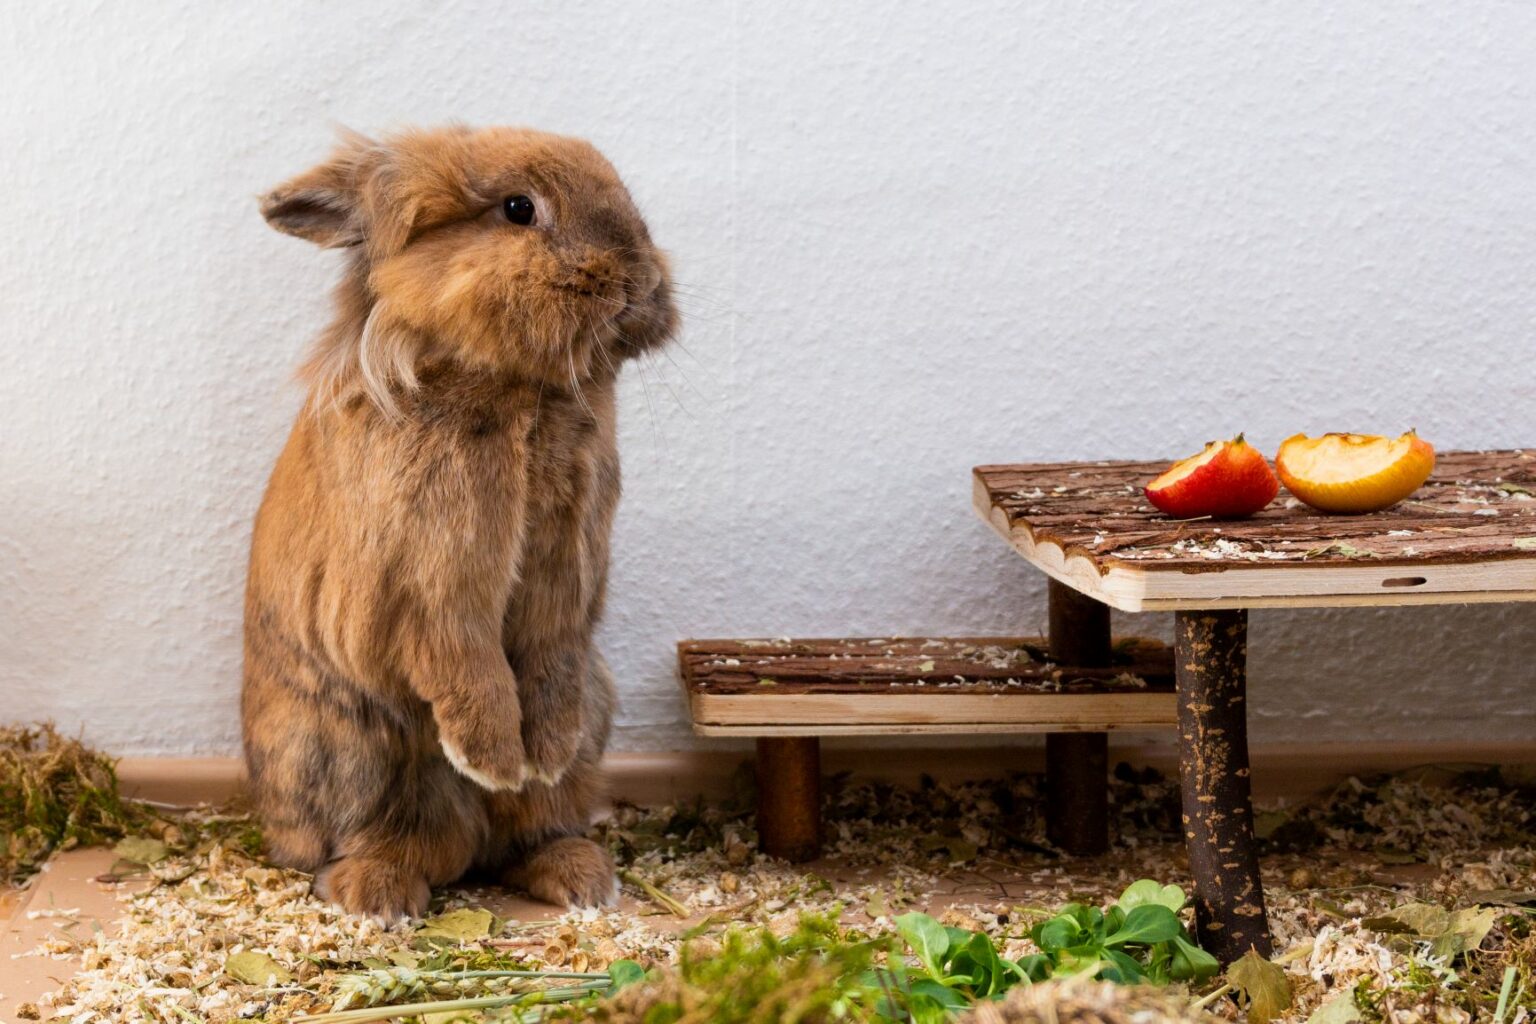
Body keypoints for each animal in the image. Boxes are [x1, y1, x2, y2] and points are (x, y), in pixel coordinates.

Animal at [239, 125, 672, 921]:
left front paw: (542, 752)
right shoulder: (428, 577)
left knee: (530, 825)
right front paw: (496, 757)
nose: (640, 281)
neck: (518, 391)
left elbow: (550, 653)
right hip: (349, 752)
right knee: (371, 843)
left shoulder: (568, 573)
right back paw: (378, 893)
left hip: (594, 714)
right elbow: (463, 655)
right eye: (518, 208)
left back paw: (579, 873)